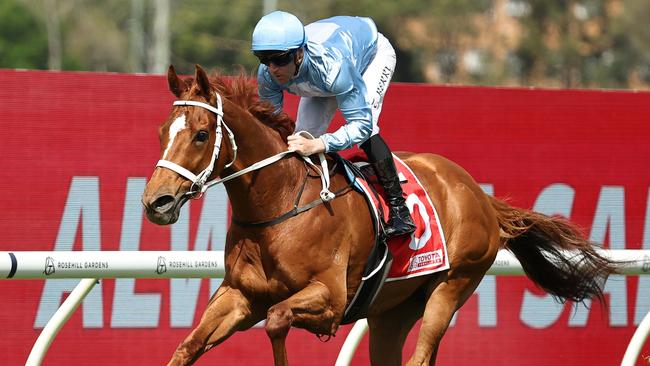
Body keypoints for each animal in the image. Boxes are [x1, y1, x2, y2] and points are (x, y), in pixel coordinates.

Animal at [142, 64, 616, 364]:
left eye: (201, 134)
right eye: (163, 132)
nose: (155, 202)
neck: (279, 206)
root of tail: (479, 195)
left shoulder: (330, 299)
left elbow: (277, 321)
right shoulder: (240, 295)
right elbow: (187, 347)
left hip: (451, 286)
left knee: (420, 356)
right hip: (392, 311)